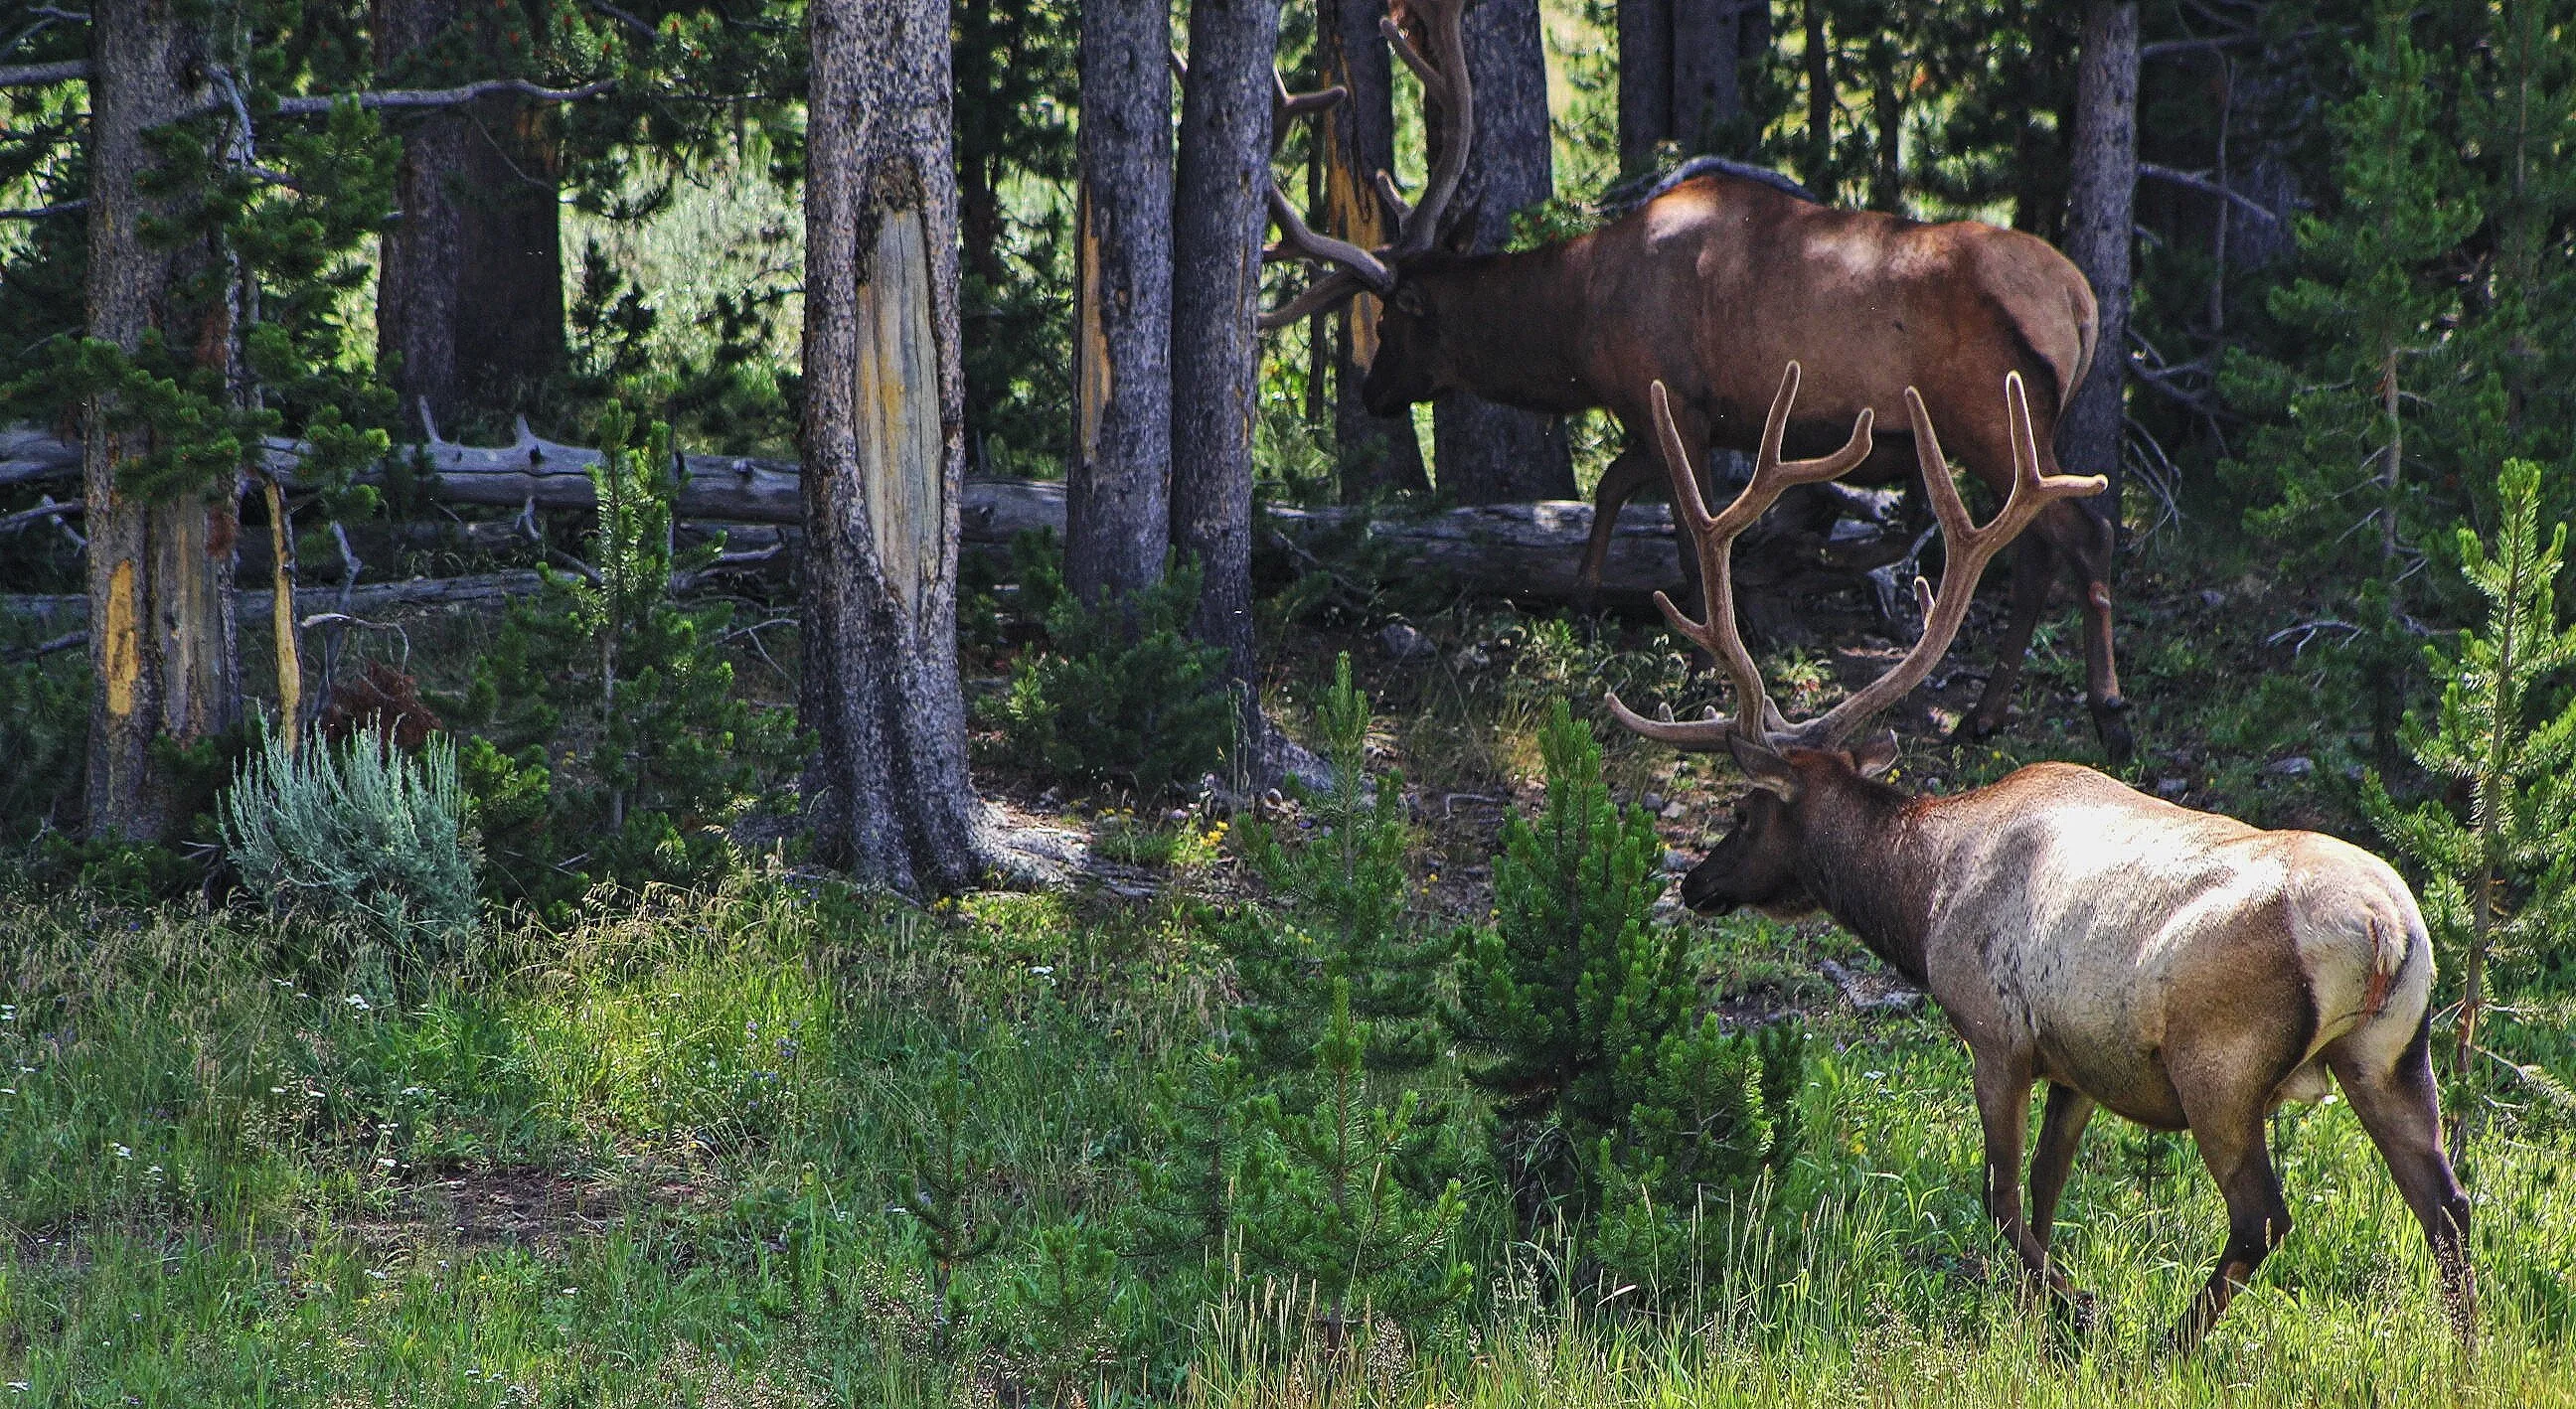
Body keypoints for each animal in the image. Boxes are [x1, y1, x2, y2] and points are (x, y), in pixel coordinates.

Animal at [1260, 0, 2131, 762]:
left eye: (1397, 318)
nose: (1371, 391)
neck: (1580, 325)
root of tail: (2079, 300)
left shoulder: (1671, 400)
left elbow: (1679, 536)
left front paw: (1682, 661)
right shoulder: (1680, 416)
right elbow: (1612, 488)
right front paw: (1587, 603)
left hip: (1989, 414)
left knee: (2086, 537)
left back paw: (2101, 711)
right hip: (2017, 429)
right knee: (2038, 550)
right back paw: (1986, 714)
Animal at [1599, 360, 2475, 1353]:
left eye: (1746, 813)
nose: (1694, 881)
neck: (1921, 897)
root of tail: (2382, 929)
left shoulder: (1995, 1030)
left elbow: (2001, 1199)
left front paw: (2074, 1307)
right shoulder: (2079, 1064)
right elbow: (2049, 1195)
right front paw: (2038, 1319)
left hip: (2221, 1064)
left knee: (2264, 1216)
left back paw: (2167, 1345)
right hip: (2393, 1055)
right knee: (2447, 1207)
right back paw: (2465, 1351)